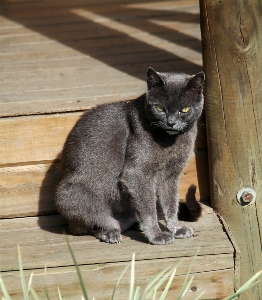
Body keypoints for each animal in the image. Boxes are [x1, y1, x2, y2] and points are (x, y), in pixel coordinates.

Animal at [55, 67, 205, 244]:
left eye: (185, 109)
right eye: (160, 108)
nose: (171, 122)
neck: (170, 141)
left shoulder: (170, 175)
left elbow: (171, 205)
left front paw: (176, 229)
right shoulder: (136, 173)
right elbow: (148, 209)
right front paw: (157, 235)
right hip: (69, 195)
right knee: (96, 223)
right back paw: (110, 233)